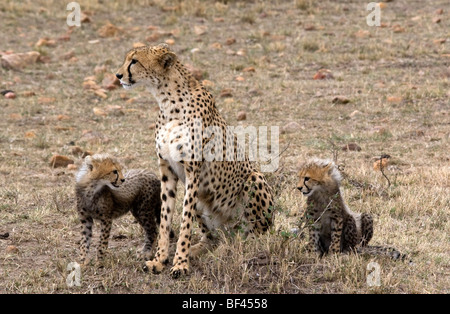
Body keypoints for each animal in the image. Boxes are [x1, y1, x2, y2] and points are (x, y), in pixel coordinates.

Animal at [116, 43, 274, 278]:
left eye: (134, 61)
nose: (118, 75)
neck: (167, 100)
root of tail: (230, 228)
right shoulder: (167, 171)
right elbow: (165, 218)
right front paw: (160, 260)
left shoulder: (193, 172)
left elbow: (184, 222)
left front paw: (180, 263)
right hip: (205, 200)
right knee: (212, 238)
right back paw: (197, 249)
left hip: (254, 180)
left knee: (255, 234)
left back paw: (244, 246)